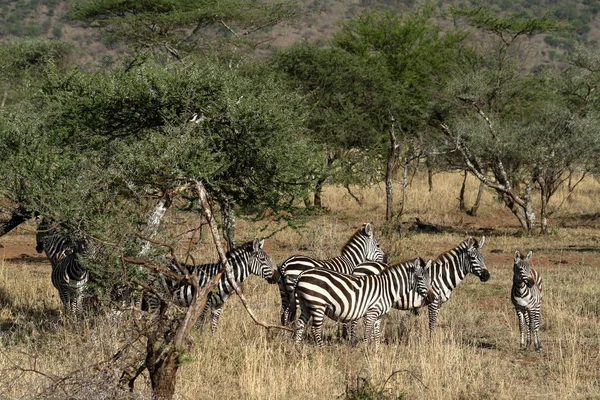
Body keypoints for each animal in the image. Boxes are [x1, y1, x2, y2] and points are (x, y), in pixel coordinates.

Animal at [292, 258, 428, 352]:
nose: (430, 295)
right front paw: (366, 350)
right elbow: (367, 332)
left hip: (305, 305)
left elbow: (377, 334)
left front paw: (376, 352)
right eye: (420, 278)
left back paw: (298, 349)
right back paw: (322, 350)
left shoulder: (379, 315)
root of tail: (302, 274)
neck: (387, 288)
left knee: (300, 324)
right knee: (315, 329)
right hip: (317, 304)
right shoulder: (372, 311)